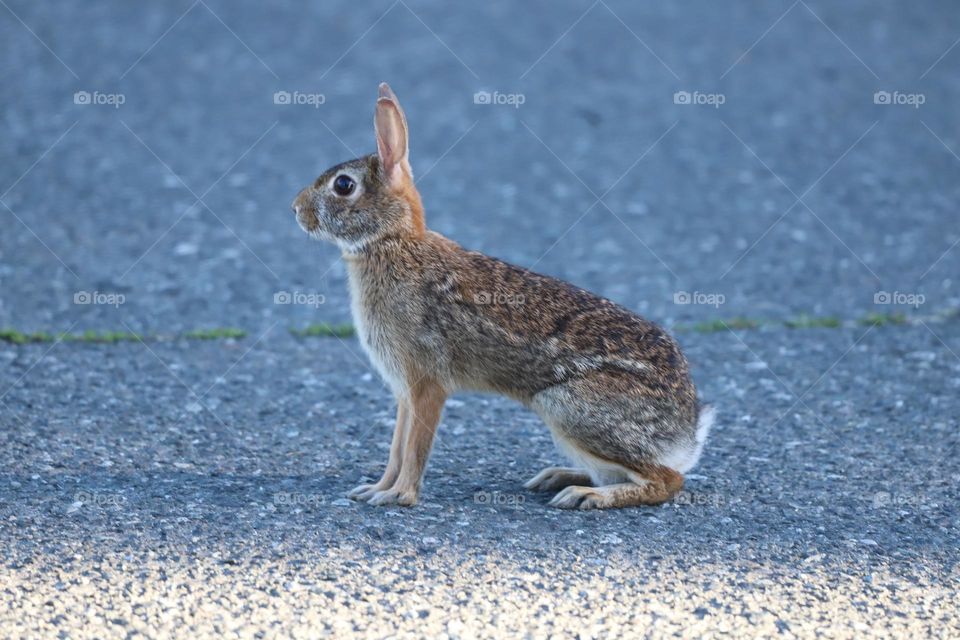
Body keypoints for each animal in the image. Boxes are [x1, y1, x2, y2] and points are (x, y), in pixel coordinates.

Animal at [292, 82, 712, 508]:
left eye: (343, 185)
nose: (296, 210)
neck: (393, 243)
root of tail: (687, 430)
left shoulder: (427, 382)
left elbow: (414, 447)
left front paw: (399, 496)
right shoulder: (404, 392)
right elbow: (397, 446)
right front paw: (375, 489)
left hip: (567, 406)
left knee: (667, 479)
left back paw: (586, 496)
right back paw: (560, 477)